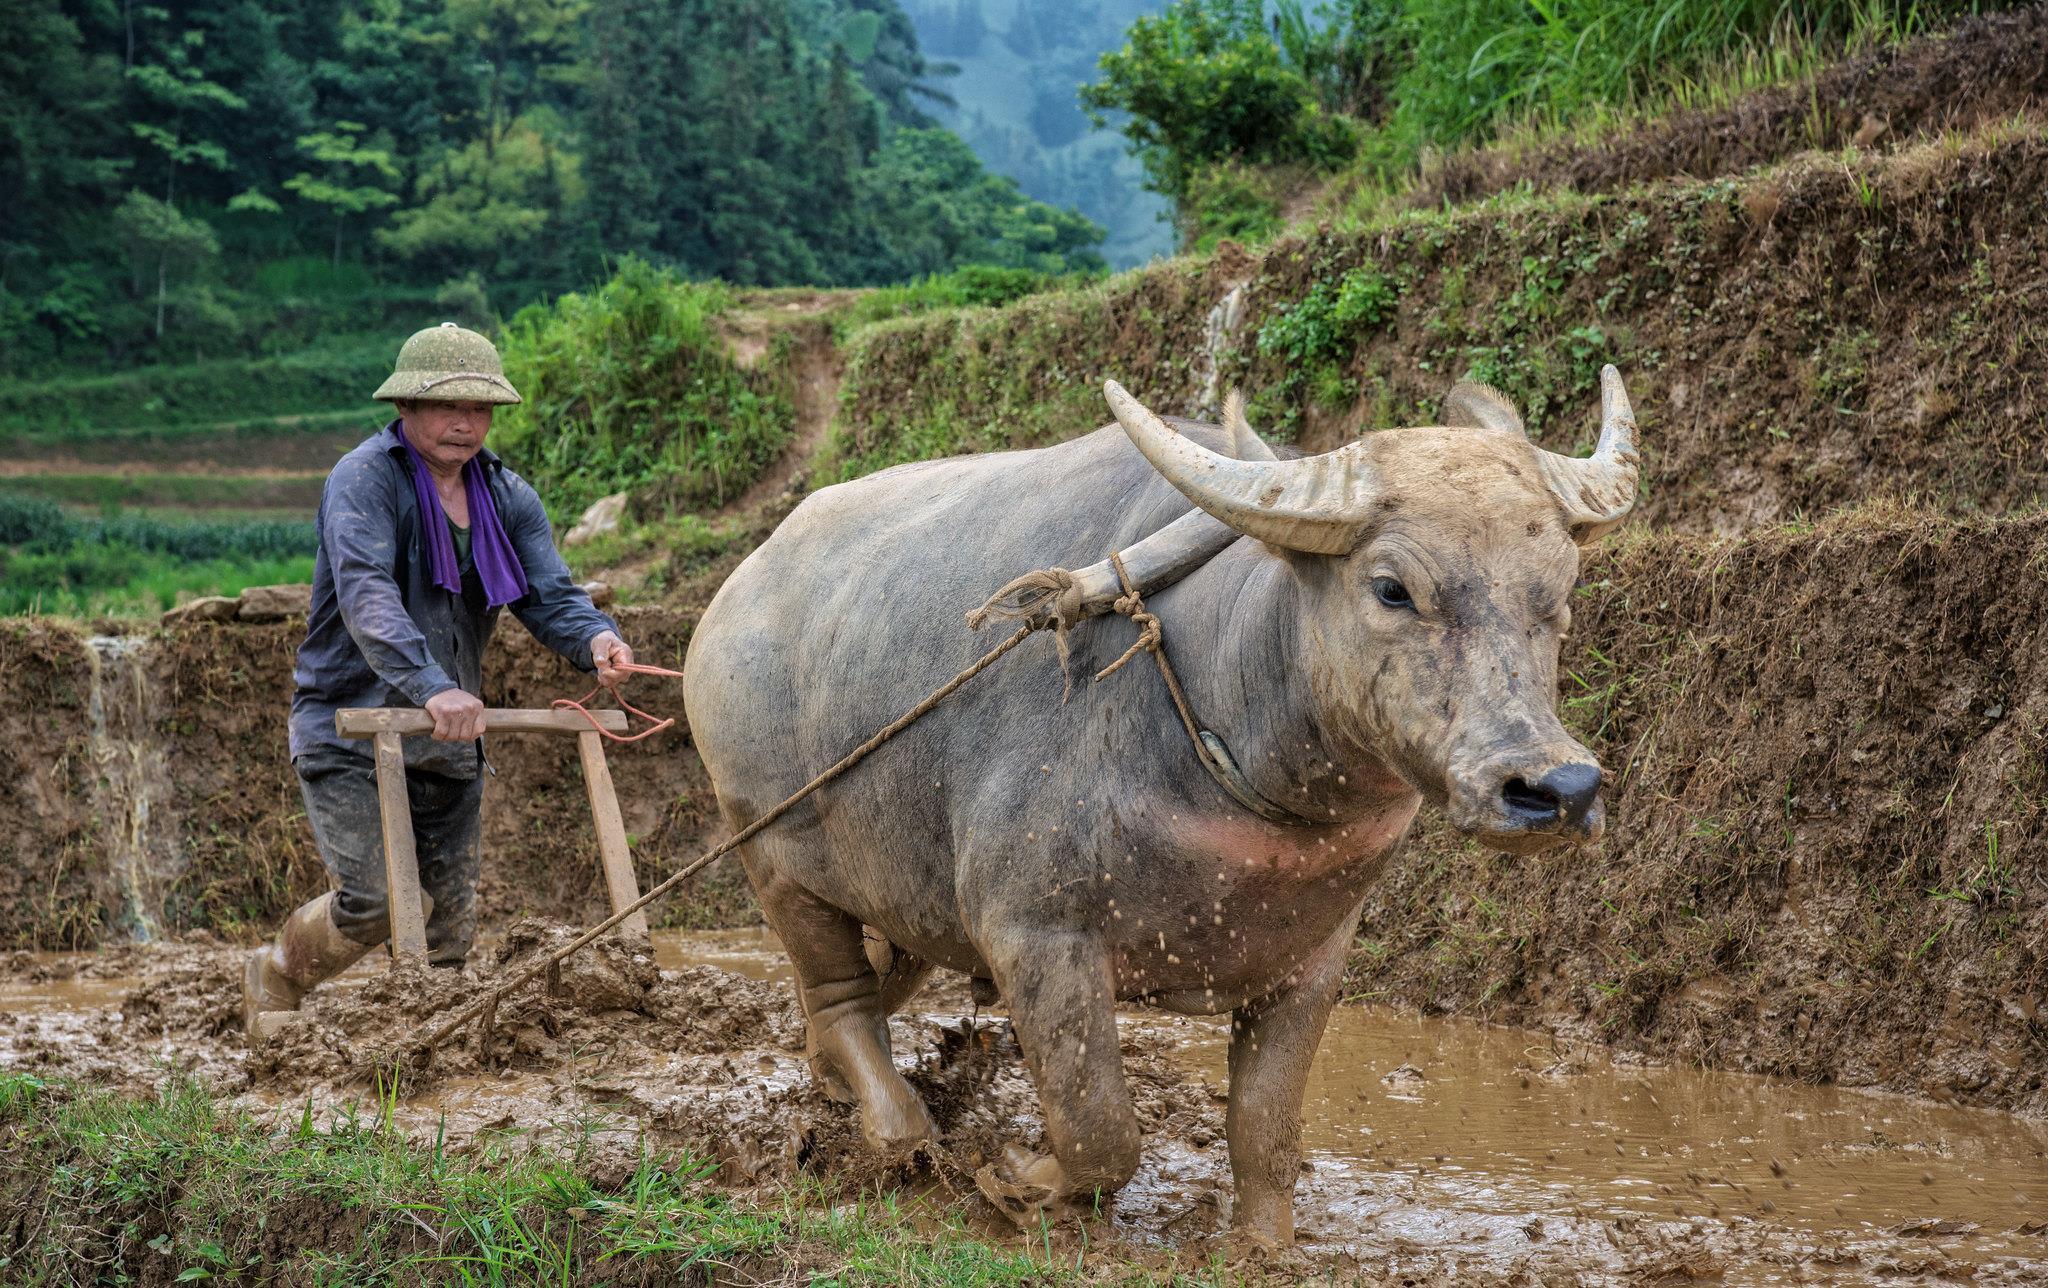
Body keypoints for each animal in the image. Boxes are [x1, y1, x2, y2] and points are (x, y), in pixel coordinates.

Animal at [679, 366, 1638, 1236]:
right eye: (1393, 588)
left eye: (1559, 591)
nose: (1555, 789)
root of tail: (725, 605)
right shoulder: (1037, 937)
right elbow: (1102, 1130)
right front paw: (1020, 1183)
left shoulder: (1313, 961)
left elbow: (1265, 1132)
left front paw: (1264, 1247)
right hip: (769, 853)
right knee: (839, 994)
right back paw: (895, 1131)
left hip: (902, 892)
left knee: (863, 993)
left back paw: (834, 1089)